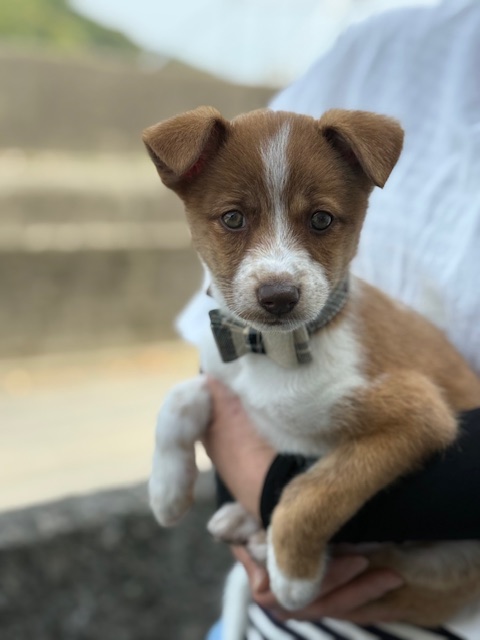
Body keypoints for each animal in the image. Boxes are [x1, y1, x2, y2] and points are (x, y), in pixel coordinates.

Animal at [142, 106, 480, 632]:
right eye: (233, 218)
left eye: (321, 219)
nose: (279, 296)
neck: (273, 352)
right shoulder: (225, 375)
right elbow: (181, 398)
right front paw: (166, 489)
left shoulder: (419, 413)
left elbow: (317, 488)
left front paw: (293, 574)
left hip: (434, 571)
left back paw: (264, 541)